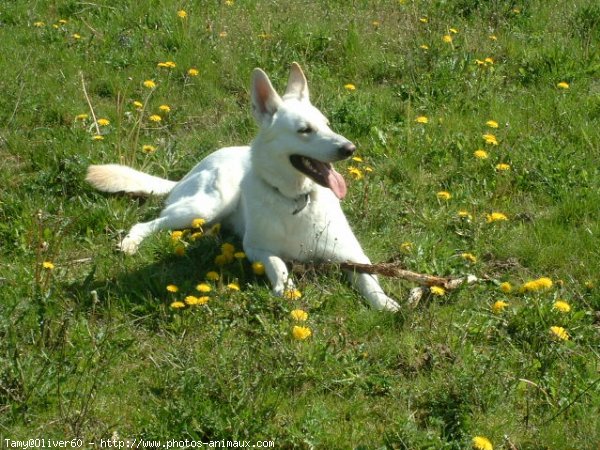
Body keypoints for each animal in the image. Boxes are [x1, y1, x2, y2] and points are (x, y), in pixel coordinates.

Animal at [85, 62, 398, 310]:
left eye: (327, 123)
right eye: (304, 130)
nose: (350, 149)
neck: (296, 200)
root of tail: (188, 173)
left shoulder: (353, 256)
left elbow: (370, 281)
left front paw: (385, 304)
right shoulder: (256, 248)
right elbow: (278, 265)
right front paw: (286, 288)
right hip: (206, 205)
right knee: (147, 224)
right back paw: (130, 243)